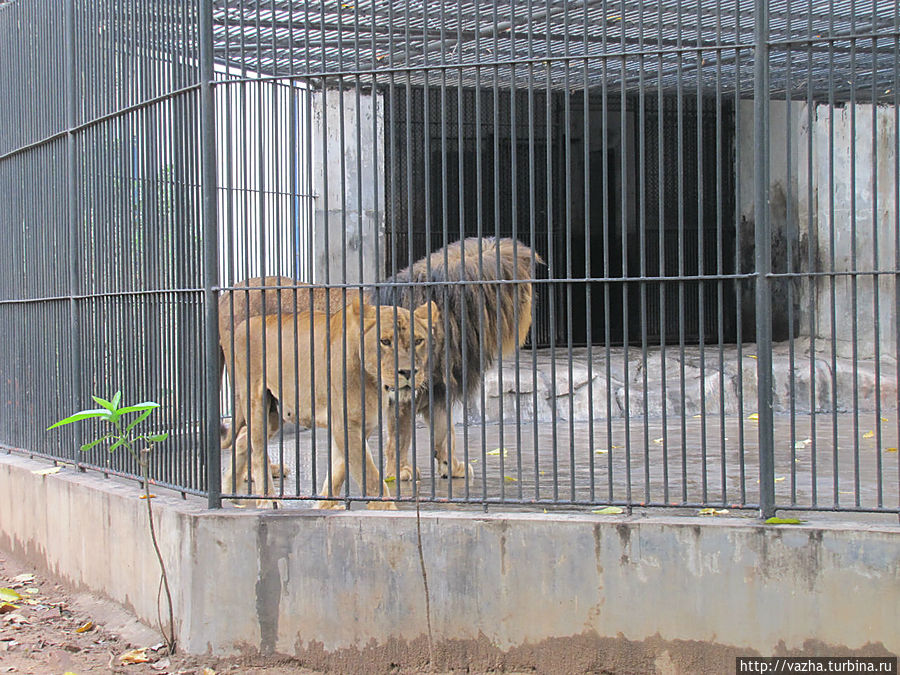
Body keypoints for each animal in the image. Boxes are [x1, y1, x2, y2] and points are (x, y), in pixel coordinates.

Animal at [225, 296, 442, 508]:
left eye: (418, 341)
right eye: (385, 341)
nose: (408, 371)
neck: (373, 380)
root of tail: (243, 324)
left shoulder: (362, 424)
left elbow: (340, 468)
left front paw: (325, 505)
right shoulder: (346, 424)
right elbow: (369, 475)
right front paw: (385, 509)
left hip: (277, 412)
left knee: (243, 438)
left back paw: (230, 492)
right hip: (256, 402)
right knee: (258, 450)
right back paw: (267, 499)